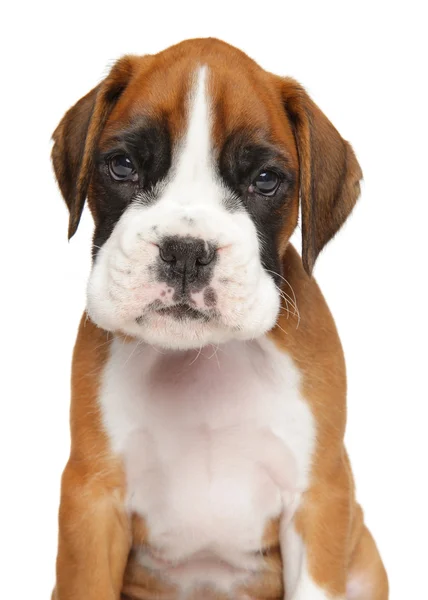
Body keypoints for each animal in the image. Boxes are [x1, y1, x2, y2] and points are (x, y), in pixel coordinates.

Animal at [50, 38, 388, 600]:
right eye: (122, 165)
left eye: (266, 180)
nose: (186, 252)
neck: (202, 360)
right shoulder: (93, 502)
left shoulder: (316, 500)